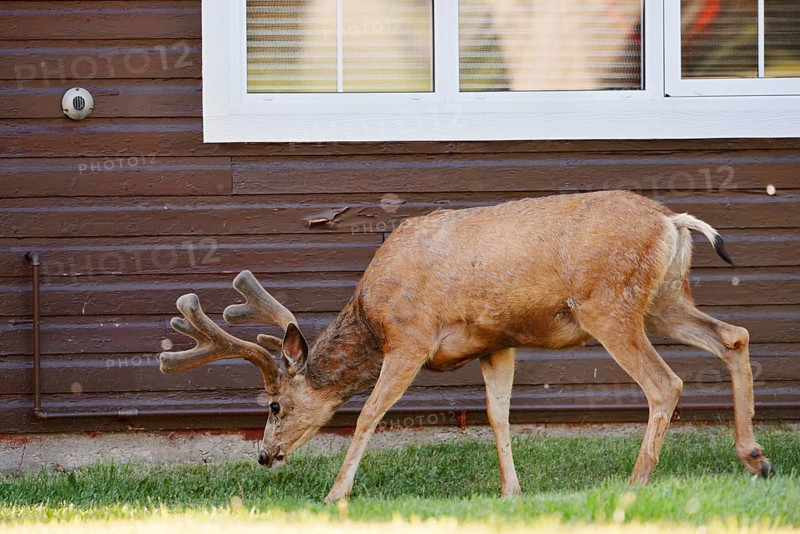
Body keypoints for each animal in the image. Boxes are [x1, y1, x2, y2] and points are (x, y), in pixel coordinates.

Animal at [159, 190, 774, 502]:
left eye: (274, 405)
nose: (264, 456)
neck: (371, 318)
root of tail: (673, 220)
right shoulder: (494, 343)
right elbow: (497, 415)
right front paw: (511, 492)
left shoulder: (409, 337)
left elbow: (369, 414)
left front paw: (336, 495)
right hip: (663, 298)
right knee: (734, 336)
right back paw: (756, 458)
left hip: (610, 305)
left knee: (665, 382)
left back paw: (636, 481)